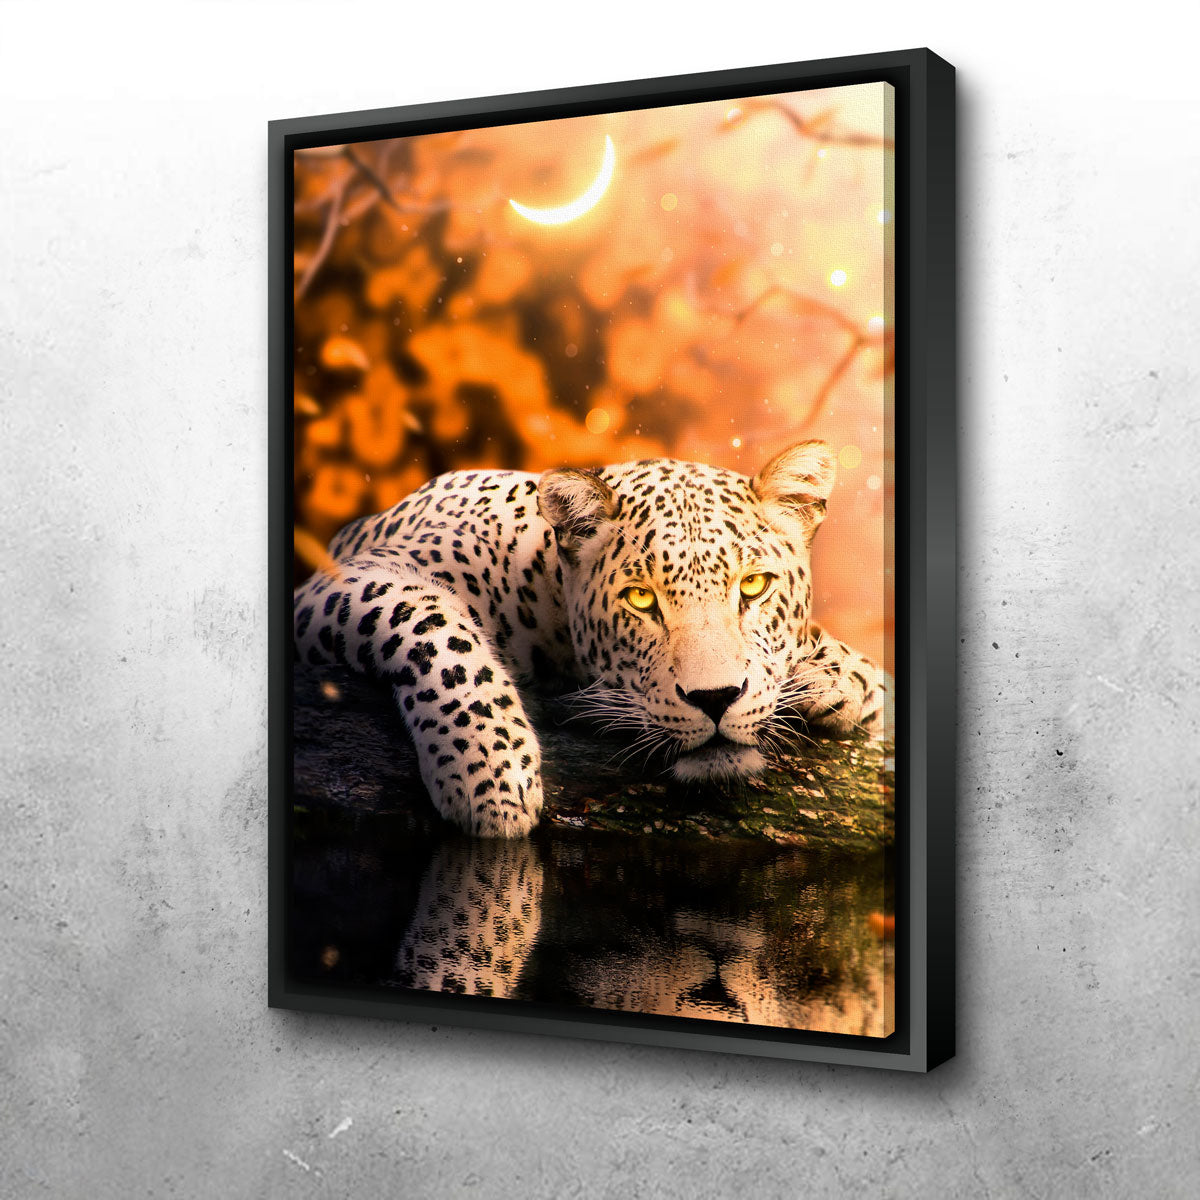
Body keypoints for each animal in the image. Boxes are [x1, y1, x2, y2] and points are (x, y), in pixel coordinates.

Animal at [293, 439, 892, 838]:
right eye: (641, 599)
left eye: (753, 586)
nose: (716, 699)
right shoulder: (348, 578)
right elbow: (433, 625)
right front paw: (492, 772)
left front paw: (842, 677)